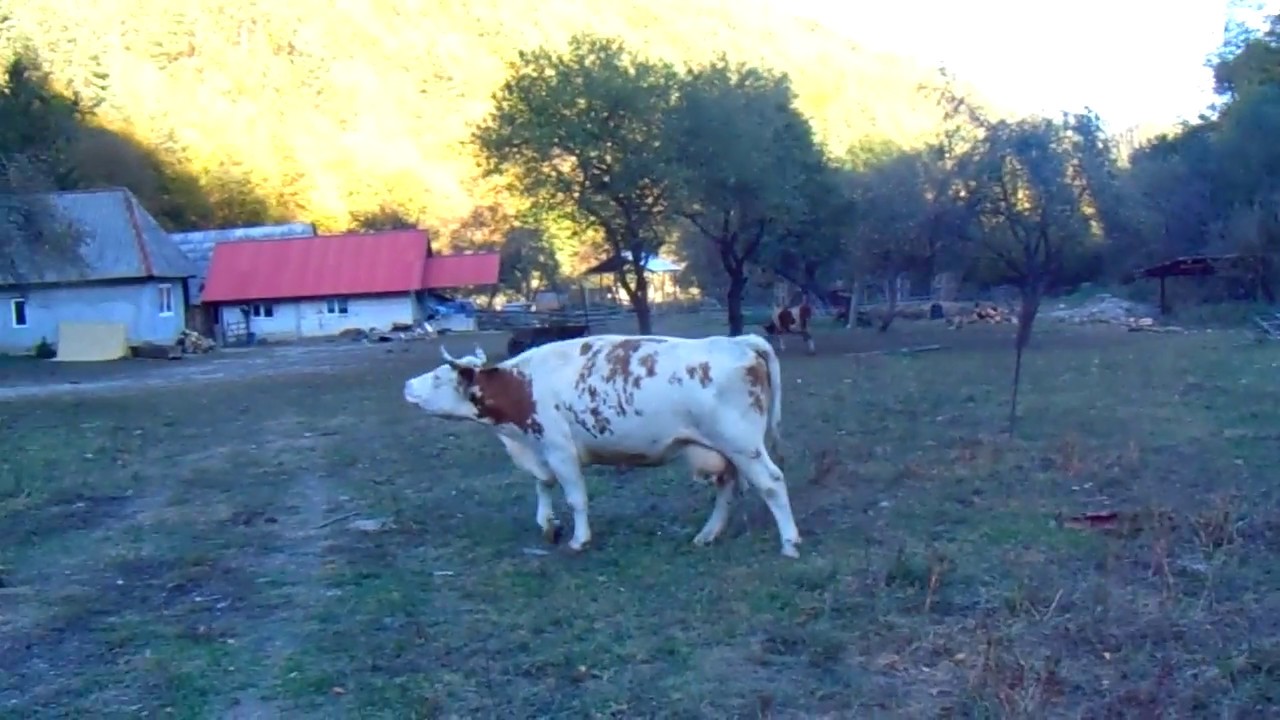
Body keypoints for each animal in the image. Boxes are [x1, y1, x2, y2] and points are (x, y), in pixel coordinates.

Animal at [402, 334, 803, 558]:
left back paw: (790, 542)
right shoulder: (541, 449)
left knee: (771, 483)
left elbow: (576, 498)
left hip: (742, 444)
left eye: (438, 377)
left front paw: (579, 540)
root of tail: (738, 341)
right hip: (721, 450)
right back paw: (707, 535)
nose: (407, 385)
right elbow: (543, 485)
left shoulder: (560, 449)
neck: (523, 386)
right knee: (728, 488)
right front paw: (548, 524)